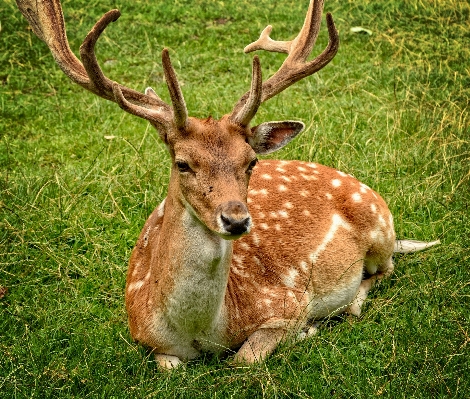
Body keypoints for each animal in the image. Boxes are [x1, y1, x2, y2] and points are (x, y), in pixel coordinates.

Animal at [15, 0, 440, 370]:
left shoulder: (288, 302)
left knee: (385, 269)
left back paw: (350, 305)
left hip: (378, 227)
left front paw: (307, 332)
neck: (203, 330)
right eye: (182, 163)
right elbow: (170, 368)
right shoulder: (145, 337)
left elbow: (244, 359)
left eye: (250, 162)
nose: (236, 220)